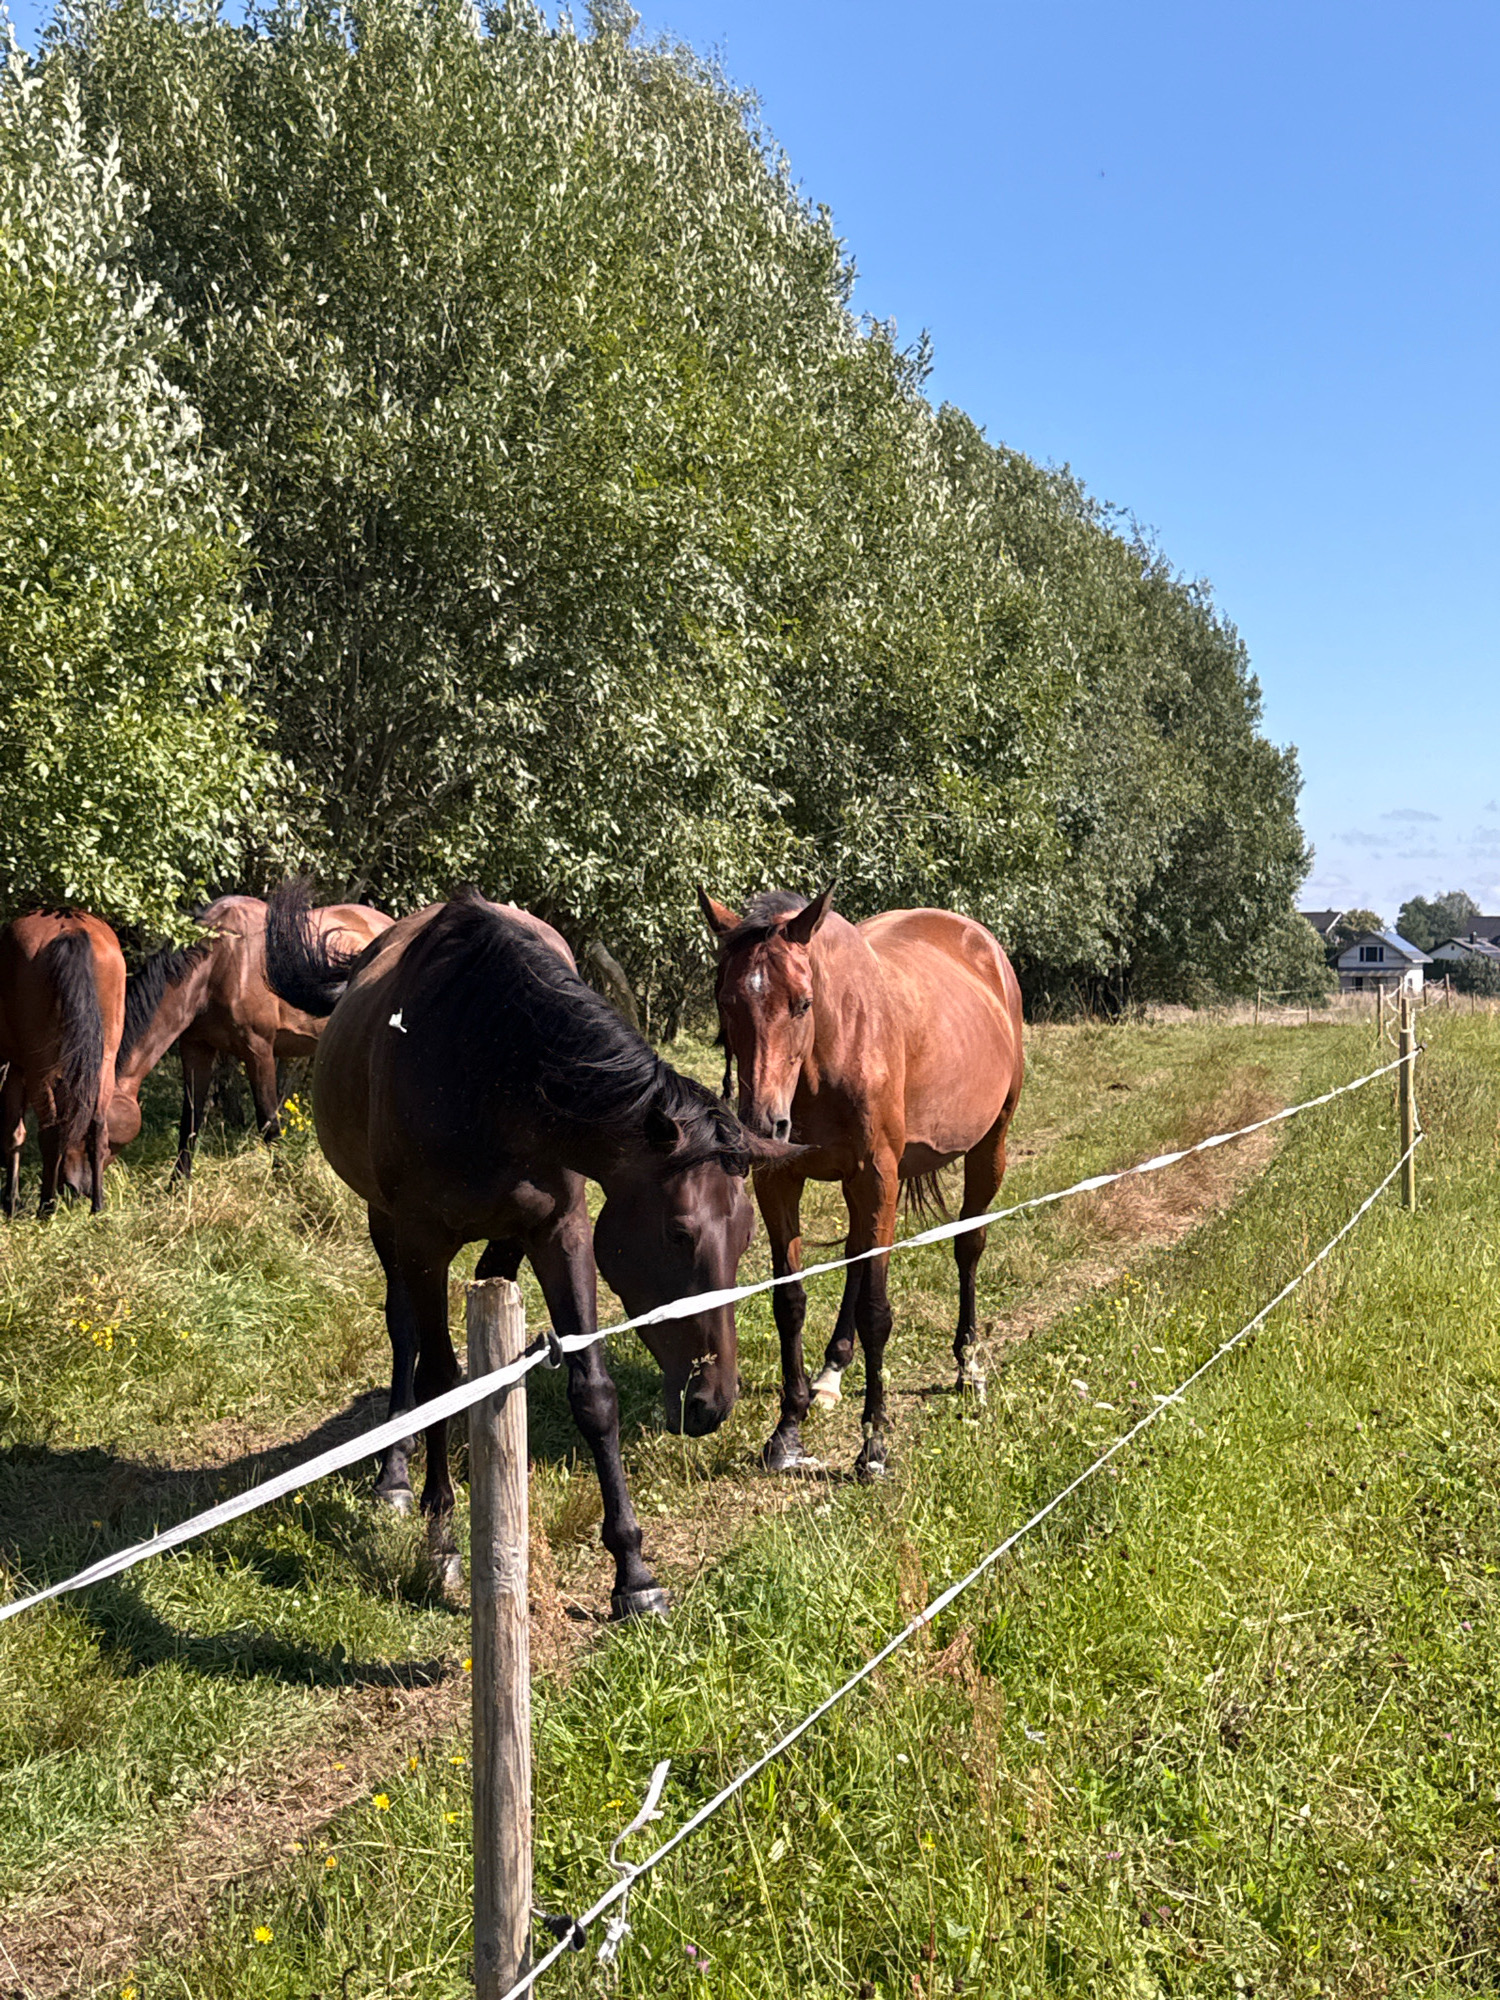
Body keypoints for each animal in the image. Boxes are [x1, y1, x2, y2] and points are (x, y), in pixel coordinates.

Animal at [0, 911, 127, 1216]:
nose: (79, 1188)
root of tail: (70, 927)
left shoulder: (16, 1068)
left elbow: (14, 1133)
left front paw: (11, 1200)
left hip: (40, 1067)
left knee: (51, 1131)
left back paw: (46, 1207)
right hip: (104, 1061)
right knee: (97, 1126)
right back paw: (97, 1206)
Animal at [110, 895, 393, 1179]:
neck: (222, 960)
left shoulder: (259, 1050)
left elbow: (268, 1122)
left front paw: (283, 1181)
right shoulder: (195, 1047)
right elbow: (190, 1119)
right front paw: (178, 1184)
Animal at [264, 882, 797, 1617]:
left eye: (745, 1237)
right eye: (678, 1233)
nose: (712, 1402)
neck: (486, 1066)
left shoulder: (561, 1231)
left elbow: (594, 1393)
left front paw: (633, 1574)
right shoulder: (423, 1241)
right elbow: (439, 1378)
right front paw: (442, 1541)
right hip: (385, 1225)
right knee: (405, 1335)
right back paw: (395, 1474)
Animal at [698, 886, 1025, 1480]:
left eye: (802, 1003)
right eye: (727, 1002)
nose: (761, 1125)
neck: (832, 1049)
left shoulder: (878, 1178)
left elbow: (877, 1312)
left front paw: (873, 1444)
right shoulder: (782, 1181)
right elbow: (790, 1301)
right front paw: (787, 1431)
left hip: (989, 1147)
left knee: (969, 1246)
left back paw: (967, 1366)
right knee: (855, 1257)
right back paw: (831, 1372)